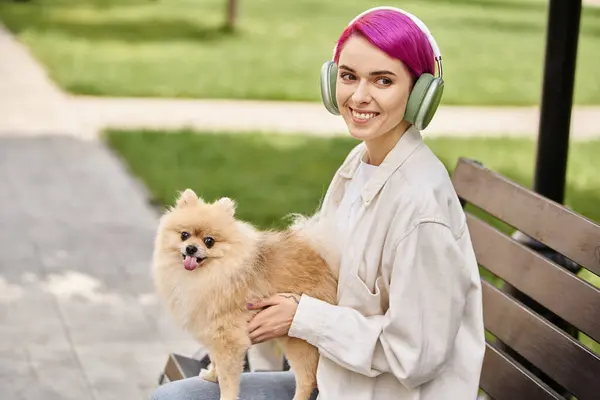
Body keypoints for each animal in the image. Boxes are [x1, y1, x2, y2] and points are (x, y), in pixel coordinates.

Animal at [151, 188, 338, 400]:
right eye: (184, 235)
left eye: (209, 241)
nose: (191, 248)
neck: (206, 275)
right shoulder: (213, 330)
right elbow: (216, 361)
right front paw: (211, 375)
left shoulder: (229, 338)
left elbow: (228, 378)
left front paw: (225, 395)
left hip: (297, 340)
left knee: (307, 379)